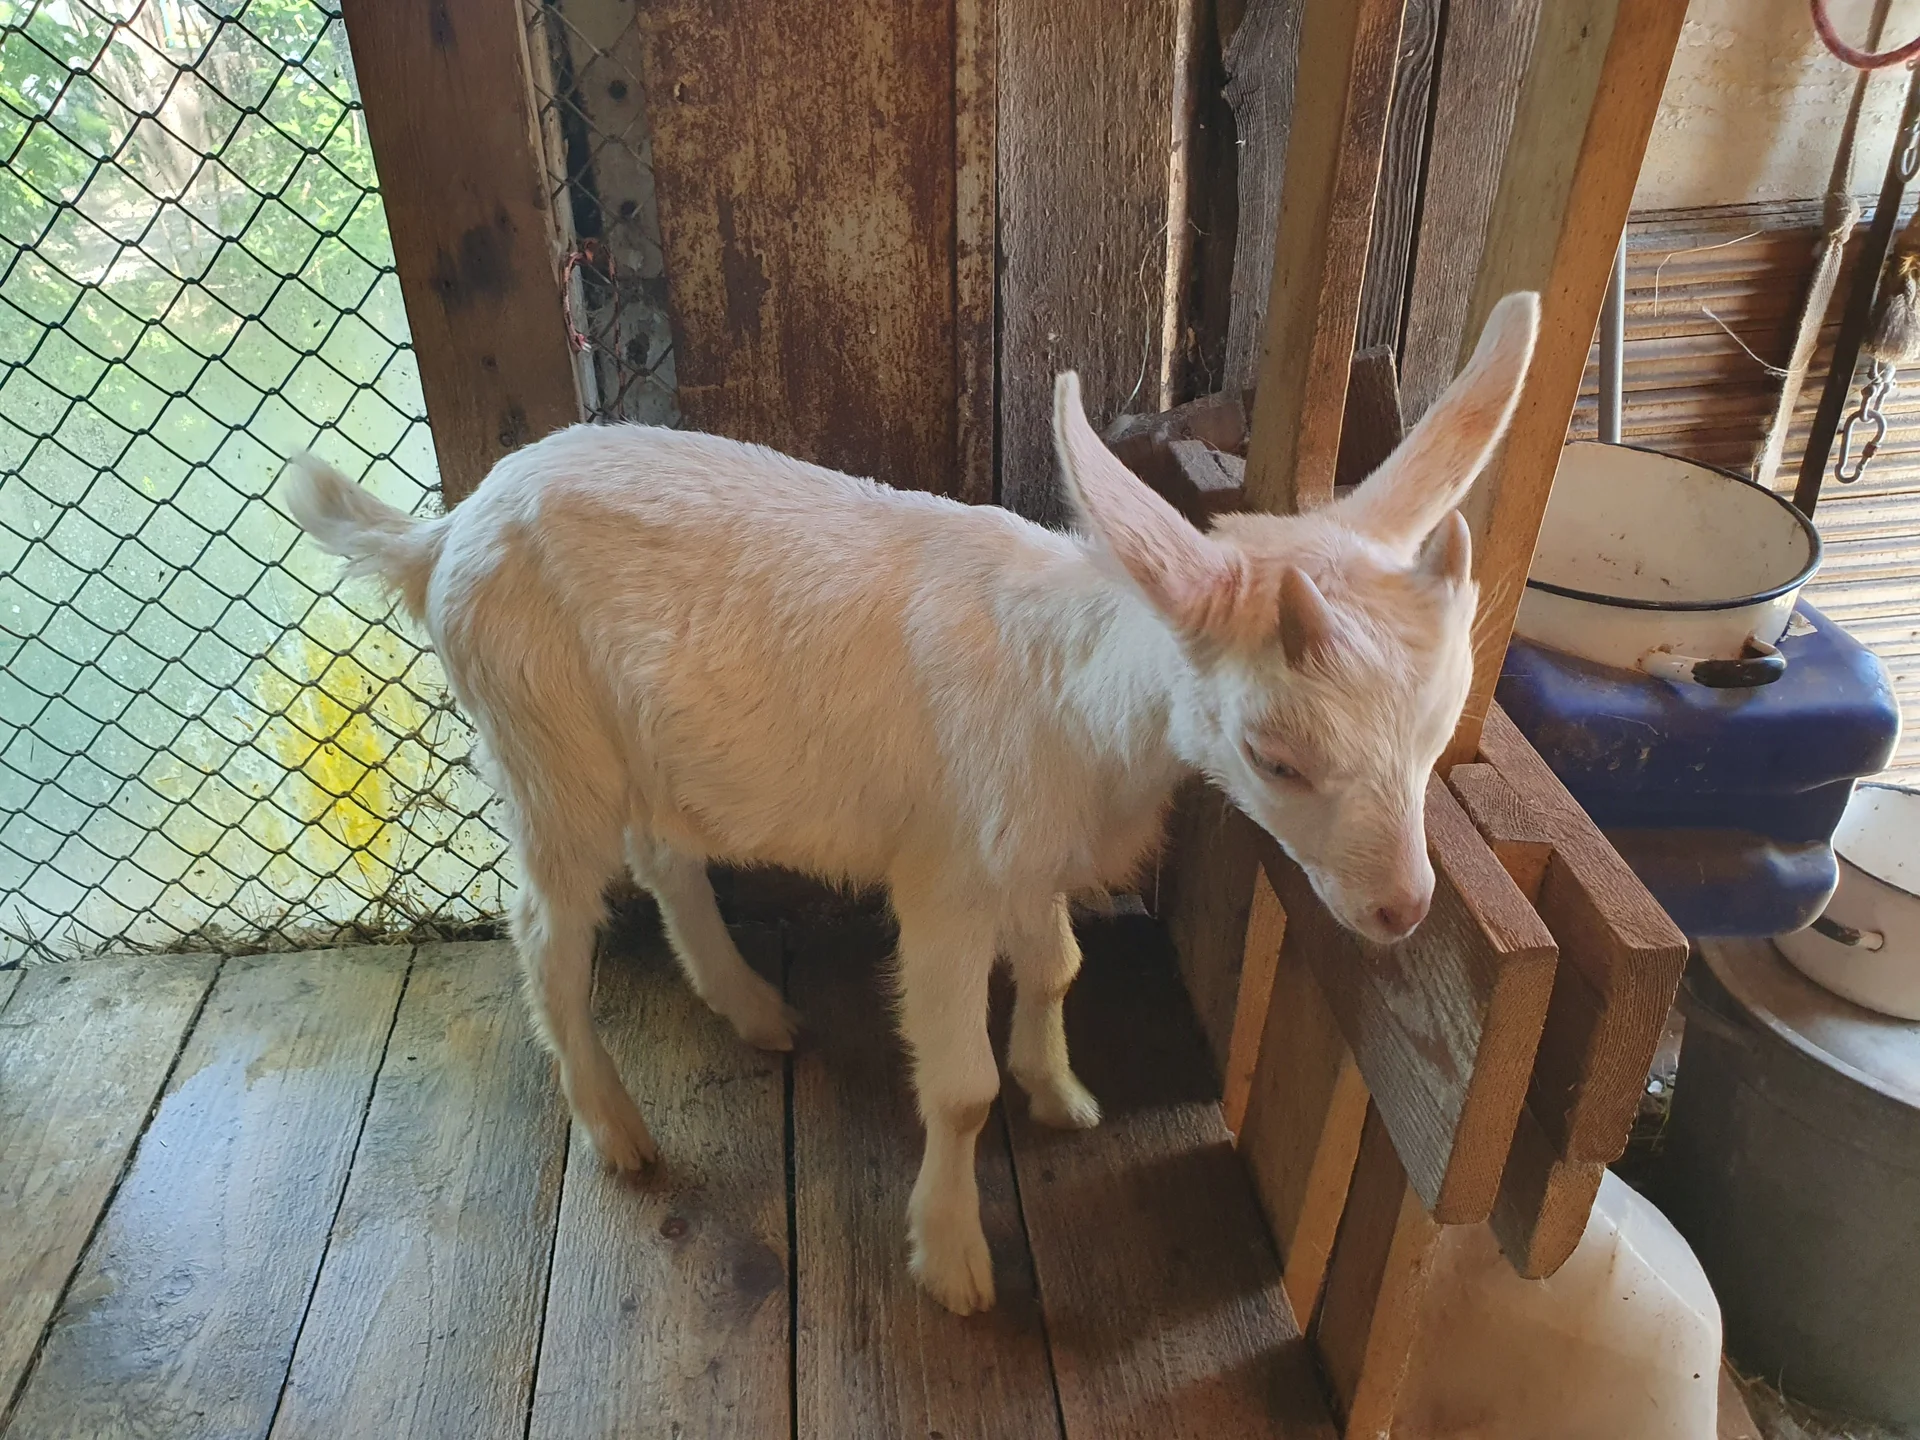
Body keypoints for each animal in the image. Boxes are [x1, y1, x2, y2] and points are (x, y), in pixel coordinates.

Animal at [285, 291, 1538, 1315]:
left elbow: (1058, 970)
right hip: (540, 742)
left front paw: (1061, 1090)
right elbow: (963, 1089)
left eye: (1439, 734)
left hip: (633, 746)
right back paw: (619, 1132)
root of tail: (442, 535)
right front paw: (952, 1261)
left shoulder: (1026, 856)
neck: (1081, 705)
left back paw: (754, 1009)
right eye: (1276, 757)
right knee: (547, 930)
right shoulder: (945, 882)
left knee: (665, 856)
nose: (1401, 911)